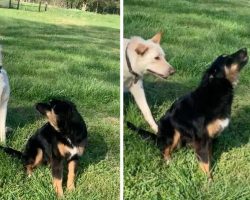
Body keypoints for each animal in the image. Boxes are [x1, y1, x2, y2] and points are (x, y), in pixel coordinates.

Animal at [129, 48, 248, 180]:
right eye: (228, 57)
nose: (245, 49)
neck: (215, 90)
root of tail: (158, 135)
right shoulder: (202, 138)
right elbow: (205, 162)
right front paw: (208, 181)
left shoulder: (209, 139)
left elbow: (208, 159)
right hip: (173, 133)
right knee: (165, 150)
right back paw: (168, 162)